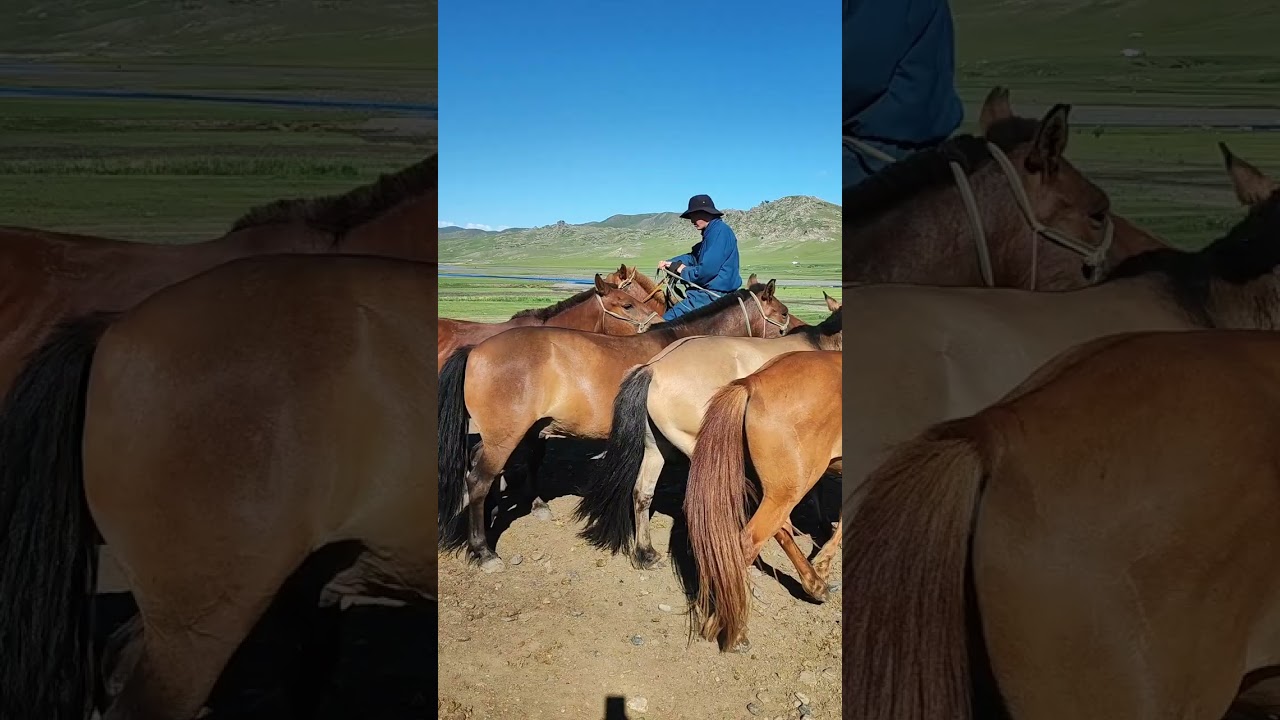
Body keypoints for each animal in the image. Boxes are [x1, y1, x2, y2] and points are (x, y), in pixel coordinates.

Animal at [437, 280, 794, 572]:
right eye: (784, 313)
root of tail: (474, 350)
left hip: (504, 435)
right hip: (505, 437)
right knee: (479, 480)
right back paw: (484, 551)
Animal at [683, 350, 842, 653]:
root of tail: (753, 382)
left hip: (775, 491)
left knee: (780, 531)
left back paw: (814, 585)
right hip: (786, 492)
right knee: (747, 543)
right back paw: (729, 628)